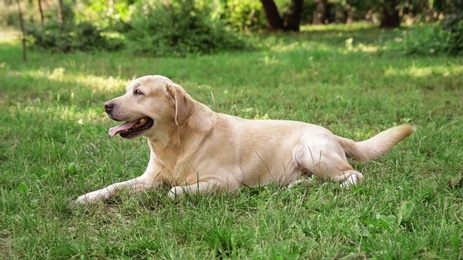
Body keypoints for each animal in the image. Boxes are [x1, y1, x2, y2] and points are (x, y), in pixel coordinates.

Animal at [75, 75, 414, 203]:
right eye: (127, 89)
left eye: (139, 92)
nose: (106, 105)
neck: (174, 145)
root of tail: (331, 133)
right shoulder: (148, 179)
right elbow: (114, 186)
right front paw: (87, 197)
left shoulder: (224, 182)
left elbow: (174, 191)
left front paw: (175, 192)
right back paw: (297, 185)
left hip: (312, 151)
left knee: (353, 176)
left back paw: (336, 186)